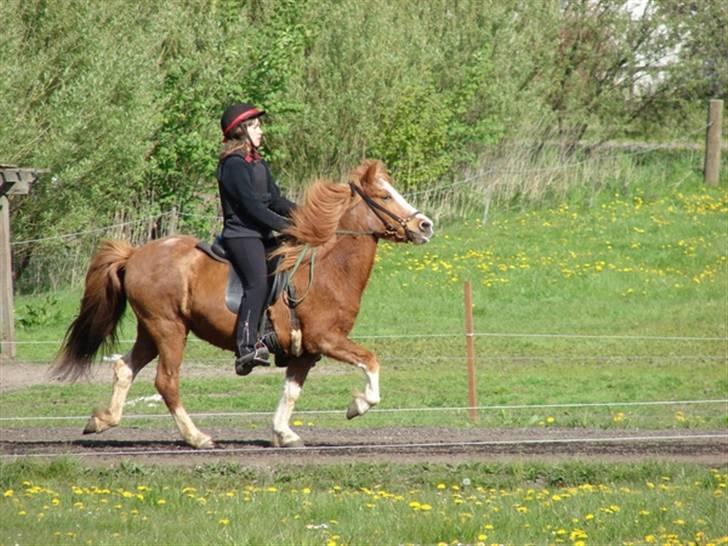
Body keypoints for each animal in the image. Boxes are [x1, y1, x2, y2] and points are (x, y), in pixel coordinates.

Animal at [52, 157, 438, 446]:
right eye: (384, 197)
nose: (425, 225)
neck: (327, 268)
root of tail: (134, 254)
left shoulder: (306, 350)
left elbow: (291, 392)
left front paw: (284, 434)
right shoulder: (327, 339)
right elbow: (371, 362)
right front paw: (357, 406)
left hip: (151, 330)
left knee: (124, 368)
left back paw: (102, 420)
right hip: (169, 329)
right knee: (166, 382)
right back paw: (197, 437)